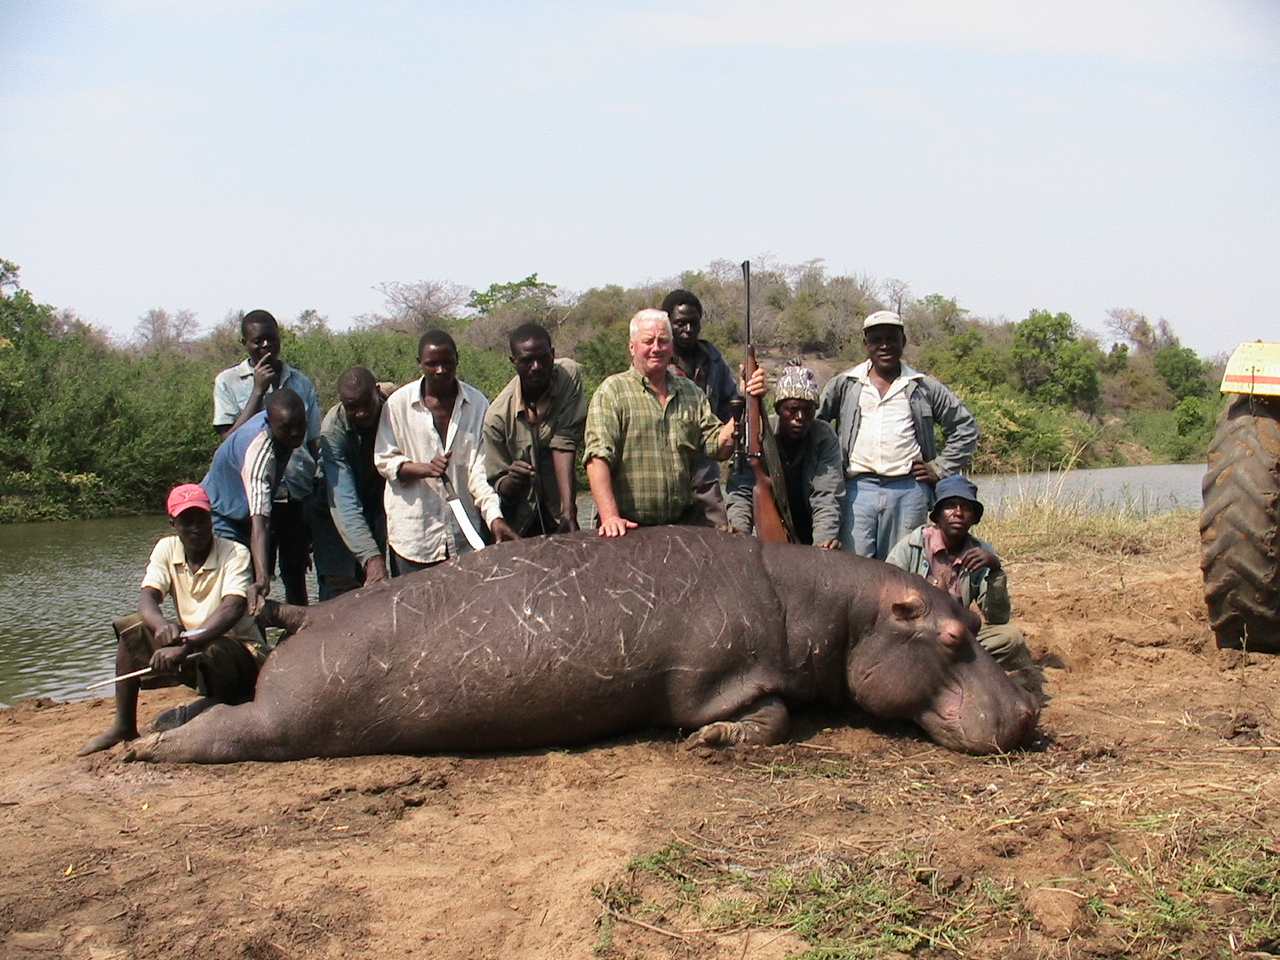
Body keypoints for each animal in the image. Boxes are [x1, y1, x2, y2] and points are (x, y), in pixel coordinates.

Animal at [122, 527, 1039, 768]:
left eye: (973, 623)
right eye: (950, 634)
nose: (1030, 712)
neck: (829, 606)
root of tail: (308, 616)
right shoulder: (721, 676)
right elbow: (768, 719)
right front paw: (711, 743)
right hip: (287, 715)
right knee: (221, 731)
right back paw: (140, 752)